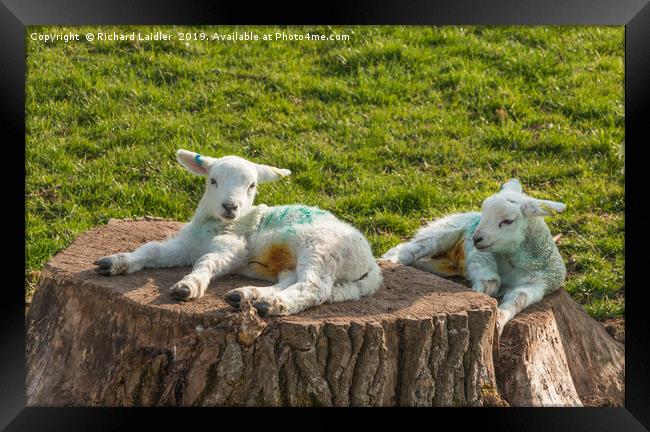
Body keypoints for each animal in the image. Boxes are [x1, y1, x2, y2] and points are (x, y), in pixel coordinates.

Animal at [93, 149, 382, 318]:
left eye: (252, 185)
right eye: (213, 181)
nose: (230, 206)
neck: (215, 226)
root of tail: (372, 267)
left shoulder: (233, 248)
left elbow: (206, 263)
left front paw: (188, 286)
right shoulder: (185, 245)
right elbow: (152, 248)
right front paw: (116, 262)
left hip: (322, 249)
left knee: (314, 287)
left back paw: (273, 304)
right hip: (303, 262)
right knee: (292, 279)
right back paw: (249, 296)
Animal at [378, 179, 564, 334]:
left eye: (508, 221)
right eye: (485, 213)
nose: (476, 238)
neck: (513, 262)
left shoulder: (539, 284)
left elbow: (518, 299)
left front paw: (499, 322)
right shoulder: (481, 255)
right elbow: (490, 281)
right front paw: (477, 300)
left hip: (444, 264)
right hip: (444, 229)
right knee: (409, 250)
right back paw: (386, 262)